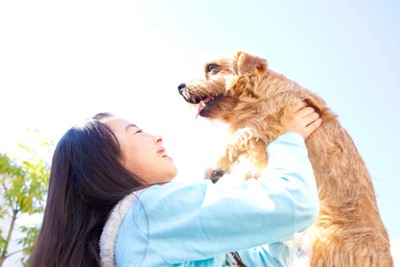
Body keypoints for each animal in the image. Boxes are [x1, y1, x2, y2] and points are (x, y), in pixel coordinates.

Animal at [178, 51, 394, 266]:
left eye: (212, 67)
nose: (180, 87)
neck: (255, 95)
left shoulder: (265, 123)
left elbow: (239, 137)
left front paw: (215, 165)